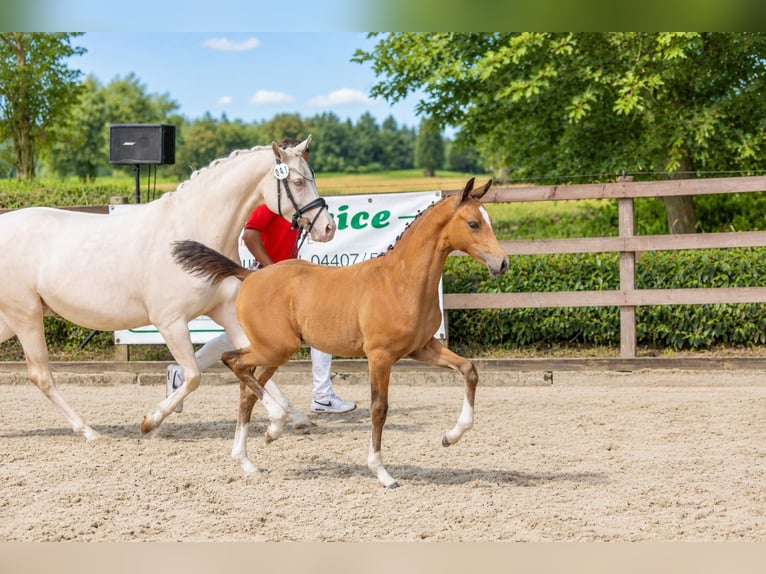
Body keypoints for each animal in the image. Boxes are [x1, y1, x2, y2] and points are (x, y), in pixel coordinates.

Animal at [0, 136, 335, 442]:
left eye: (312, 176)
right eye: (297, 181)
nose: (328, 228)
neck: (192, 232)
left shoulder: (225, 312)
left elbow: (255, 366)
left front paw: (282, 420)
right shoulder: (170, 321)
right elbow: (194, 376)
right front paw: (150, 421)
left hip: (11, 320)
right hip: (26, 316)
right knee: (42, 376)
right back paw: (89, 432)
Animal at [172, 177, 509, 488]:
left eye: (488, 220)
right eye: (474, 223)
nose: (503, 263)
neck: (401, 281)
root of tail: (249, 275)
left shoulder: (423, 348)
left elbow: (469, 370)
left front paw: (450, 436)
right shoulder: (380, 355)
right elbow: (379, 408)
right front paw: (382, 473)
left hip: (273, 353)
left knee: (246, 391)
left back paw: (251, 455)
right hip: (275, 348)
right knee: (233, 362)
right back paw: (275, 424)